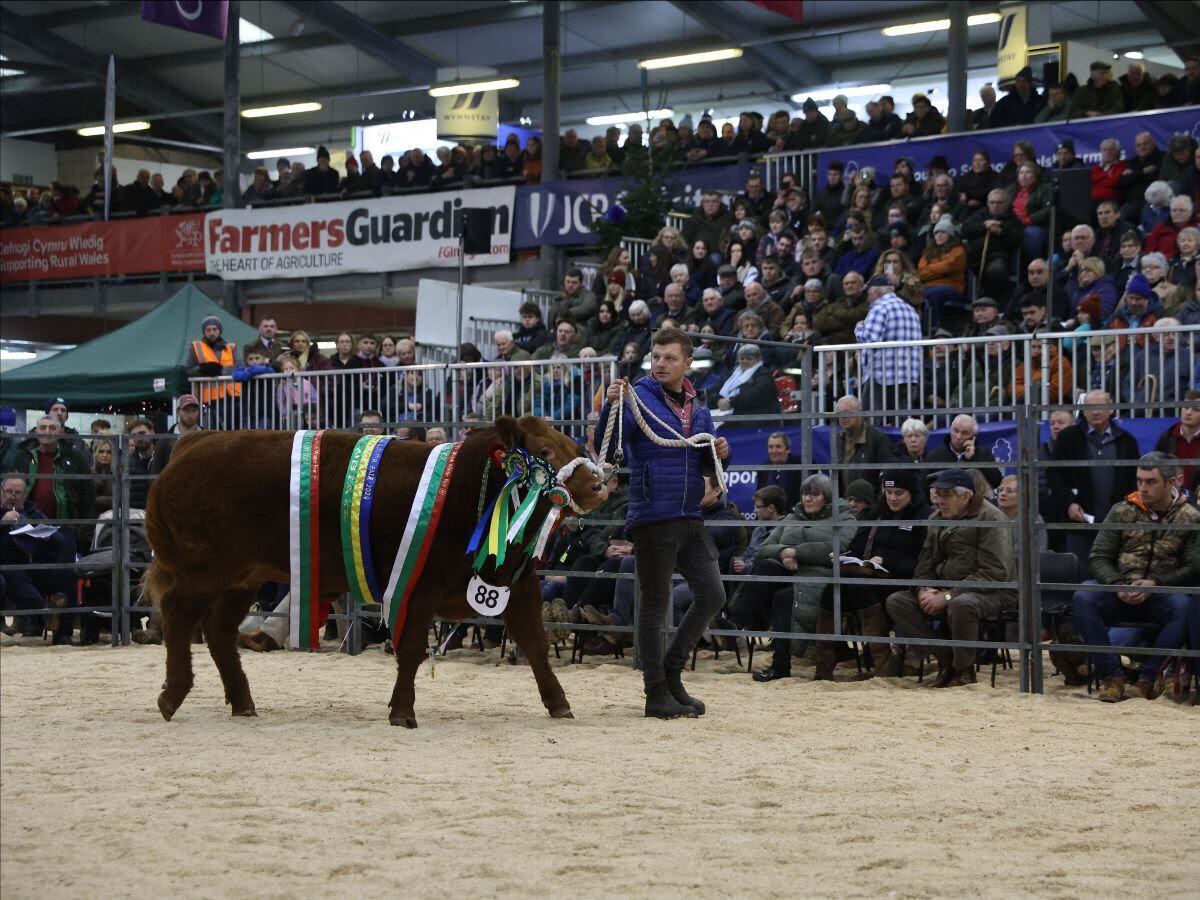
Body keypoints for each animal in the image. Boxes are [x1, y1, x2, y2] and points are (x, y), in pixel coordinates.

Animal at [142, 420, 609, 729]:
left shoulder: (517, 584)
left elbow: (535, 644)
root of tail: (195, 441)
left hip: (243, 576)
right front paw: (403, 712)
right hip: (201, 570)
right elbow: (412, 650)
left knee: (219, 631)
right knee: (179, 617)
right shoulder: (418, 586)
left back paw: (242, 702)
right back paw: (172, 694)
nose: (600, 485)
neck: (474, 492)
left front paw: (559, 703)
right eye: (545, 453)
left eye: (572, 442)